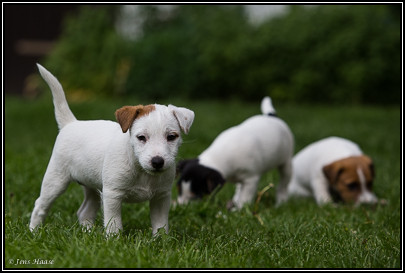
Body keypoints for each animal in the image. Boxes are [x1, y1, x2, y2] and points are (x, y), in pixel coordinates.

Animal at [30, 64, 194, 234]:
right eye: (141, 137)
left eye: (171, 137)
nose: (157, 162)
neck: (140, 168)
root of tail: (71, 123)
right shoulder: (112, 195)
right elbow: (113, 223)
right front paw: (114, 239)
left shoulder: (161, 197)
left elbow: (160, 224)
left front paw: (160, 239)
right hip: (56, 179)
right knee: (40, 205)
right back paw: (34, 231)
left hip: (92, 185)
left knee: (85, 211)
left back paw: (88, 233)